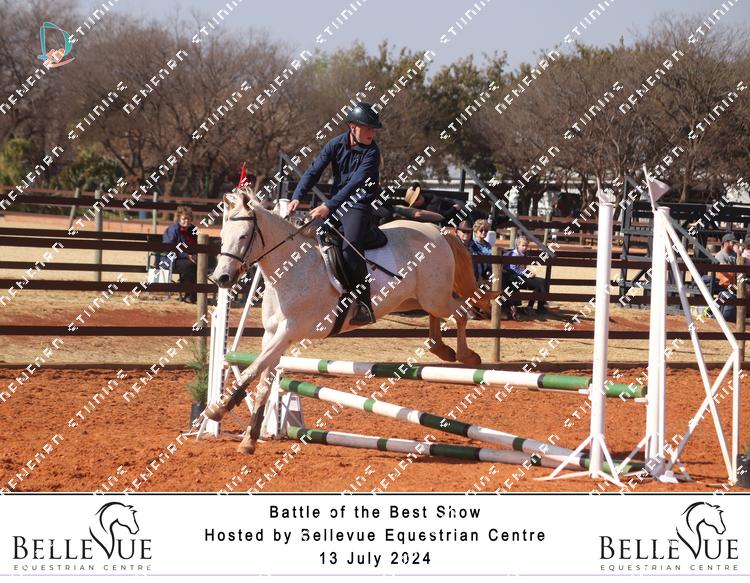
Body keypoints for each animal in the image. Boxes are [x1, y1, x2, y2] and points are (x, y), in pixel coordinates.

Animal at [205, 188, 490, 454]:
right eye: (222, 236)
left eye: (243, 236)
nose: (221, 278)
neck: (290, 269)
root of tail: (438, 231)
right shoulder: (272, 335)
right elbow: (263, 379)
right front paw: (248, 439)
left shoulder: (289, 332)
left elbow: (253, 368)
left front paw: (218, 409)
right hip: (415, 299)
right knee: (440, 316)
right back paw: (441, 349)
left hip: (434, 296)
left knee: (462, 311)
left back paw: (467, 356)